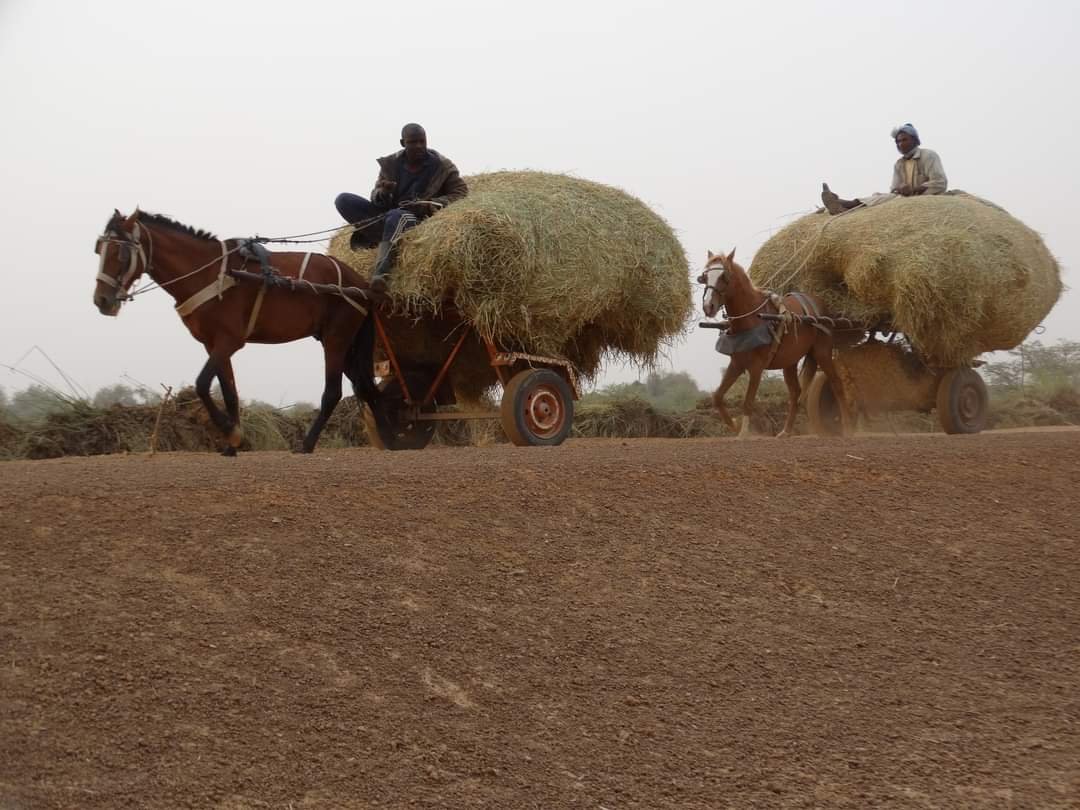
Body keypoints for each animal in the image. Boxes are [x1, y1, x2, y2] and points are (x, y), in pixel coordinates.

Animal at [92, 209, 382, 457]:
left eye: (120, 252)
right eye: (98, 249)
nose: (102, 300)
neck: (209, 273)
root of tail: (359, 282)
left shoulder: (229, 341)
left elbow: (202, 384)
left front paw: (231, 433)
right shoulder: (213, 344)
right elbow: (229, 392)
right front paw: (232, 444)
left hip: (336, 338)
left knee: (332, 392)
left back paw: (308, 444)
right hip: (341, 342)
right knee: (363, 388)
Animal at [699, 250, 851, 440]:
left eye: (724, 276)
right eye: (704, 277)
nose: (708, 306)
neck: (752, 317)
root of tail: (819, 303)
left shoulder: (756, 367)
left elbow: (748, 401)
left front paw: (744, 433)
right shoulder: (736, 364)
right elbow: (717, 397)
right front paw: (734, 426)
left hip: (822, 352)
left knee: (837, 384)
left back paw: (846, 428)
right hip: (790, 362)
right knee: (795, 393)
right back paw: (786, 431)